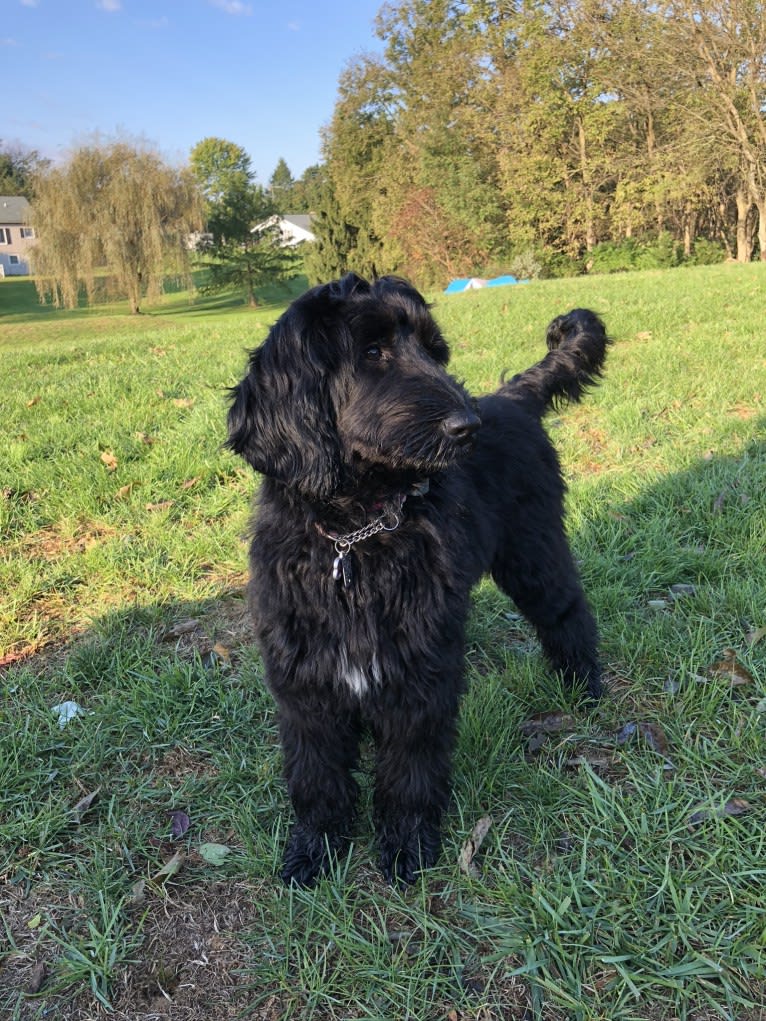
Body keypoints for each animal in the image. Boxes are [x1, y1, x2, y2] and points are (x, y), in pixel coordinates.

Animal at [224, 271, 608, 886]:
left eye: (433, 350)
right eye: (372, 352)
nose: (467, 427)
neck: (354, 536)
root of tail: (511, 397)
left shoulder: (417, 670)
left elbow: (410, 769)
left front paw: (406, 846)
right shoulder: (305, 680)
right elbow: (315, 775)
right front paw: (315, 848)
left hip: (534, 551)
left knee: (567, 612)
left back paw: (584, 687)